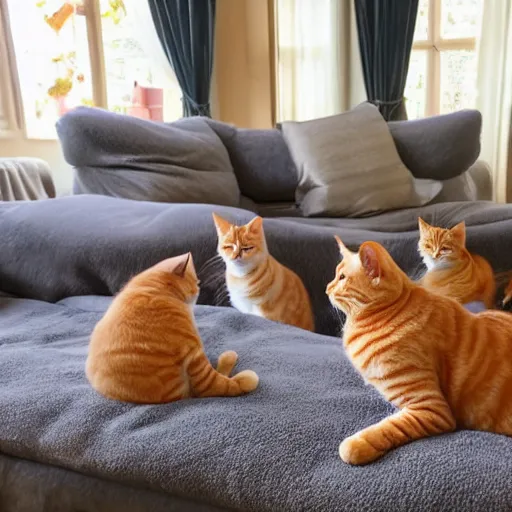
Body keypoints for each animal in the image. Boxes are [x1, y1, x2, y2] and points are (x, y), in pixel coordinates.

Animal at [86, 252, 260, 404]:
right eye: (196, 283)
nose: (199, 289)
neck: (154, 290)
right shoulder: (193, 353)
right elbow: (222, 385)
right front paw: (244, 379)